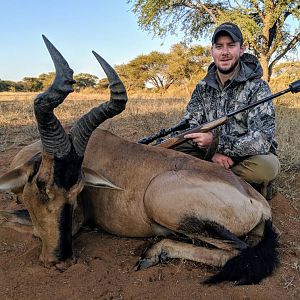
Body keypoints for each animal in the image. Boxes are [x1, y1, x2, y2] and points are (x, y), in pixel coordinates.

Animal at [0, 36, 278, 284]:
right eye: (41, 185)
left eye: (78, 191)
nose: (61, 261)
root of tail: (259, 202)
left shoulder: (78, 220)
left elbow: (9, 218)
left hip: (163, 202)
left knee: (239, 250)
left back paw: (153, 252)